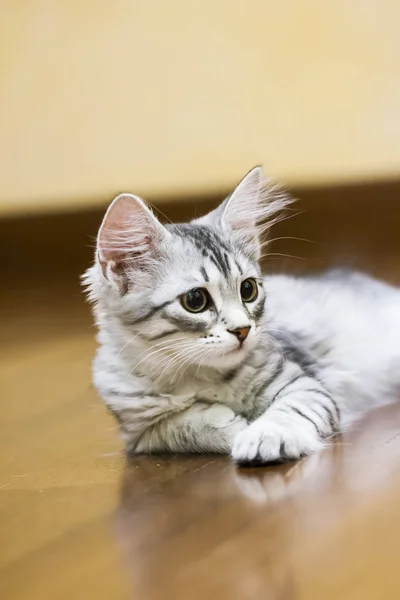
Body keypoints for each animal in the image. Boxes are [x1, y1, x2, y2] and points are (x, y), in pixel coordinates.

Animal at [83, 168, 400, 464]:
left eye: (248, 289)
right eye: (195, 300)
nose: (243, 330)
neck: (198, 374)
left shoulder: (304, 386)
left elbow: (289, 411)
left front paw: (266, 435)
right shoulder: (140, 432)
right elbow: (182, 426)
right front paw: (233, 427)